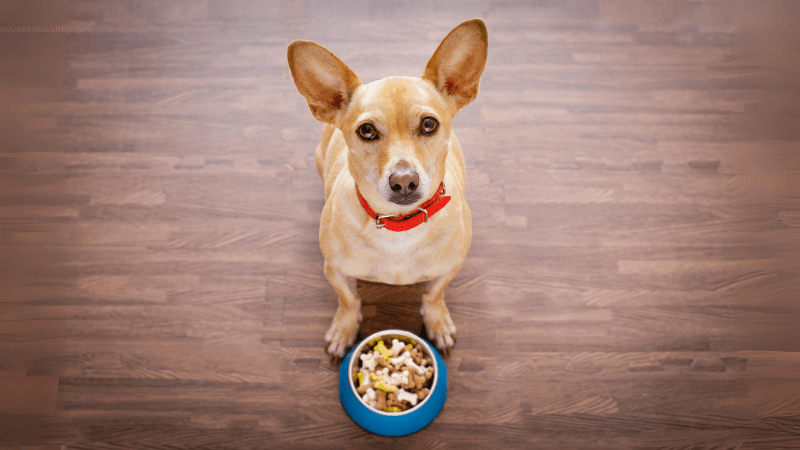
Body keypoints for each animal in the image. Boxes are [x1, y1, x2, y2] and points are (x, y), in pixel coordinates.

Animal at [288, 19, 488, 360]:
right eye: (366, 131)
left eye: (429, 125)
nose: (404, 181)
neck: (399, 225)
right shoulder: (336, 271)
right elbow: (349, 301)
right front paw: (344, 329)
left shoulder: (449, 269)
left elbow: (434, 295)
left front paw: (437, 322)